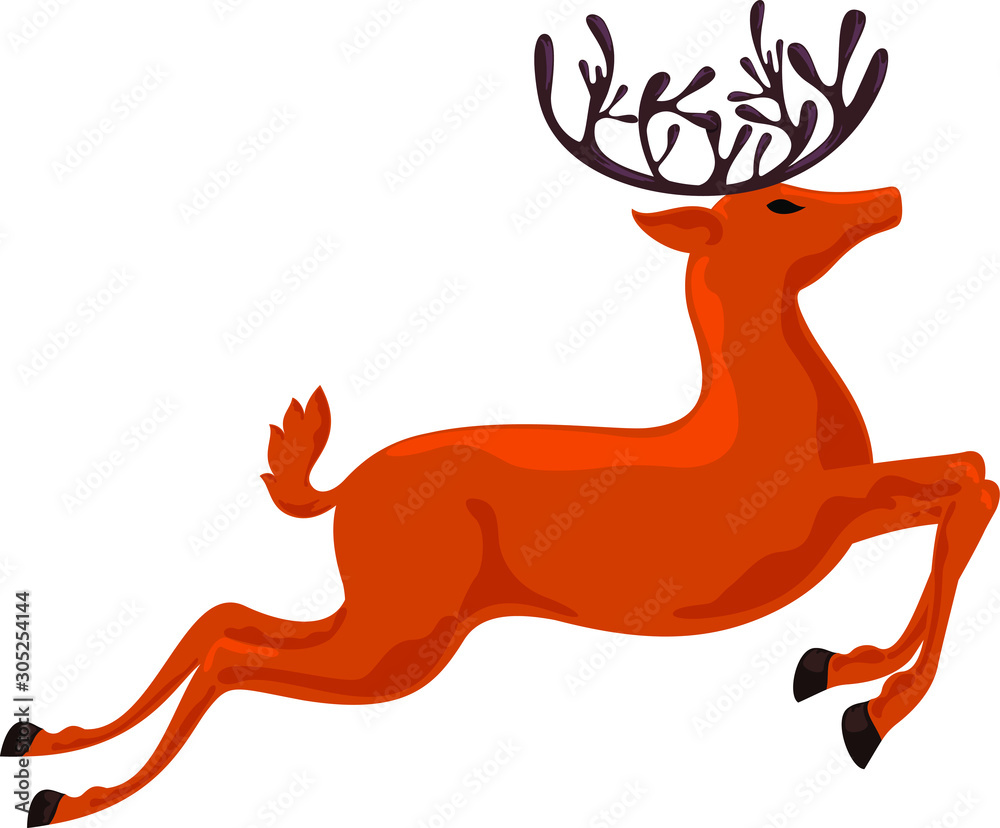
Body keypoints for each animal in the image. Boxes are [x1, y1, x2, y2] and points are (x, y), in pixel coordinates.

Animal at [5, 3, 995, 825]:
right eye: (782, 201)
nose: (889, 199)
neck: (765, 426)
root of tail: (342, 491)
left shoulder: (836, 515)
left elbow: (964, 480)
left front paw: (832, 670)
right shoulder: (807, 515)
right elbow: (967, 483)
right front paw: (867, 710)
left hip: (383, 611)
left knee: (224, 616)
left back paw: (42, 743)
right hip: (406, 632)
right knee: (233, 654)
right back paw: (67, 797)